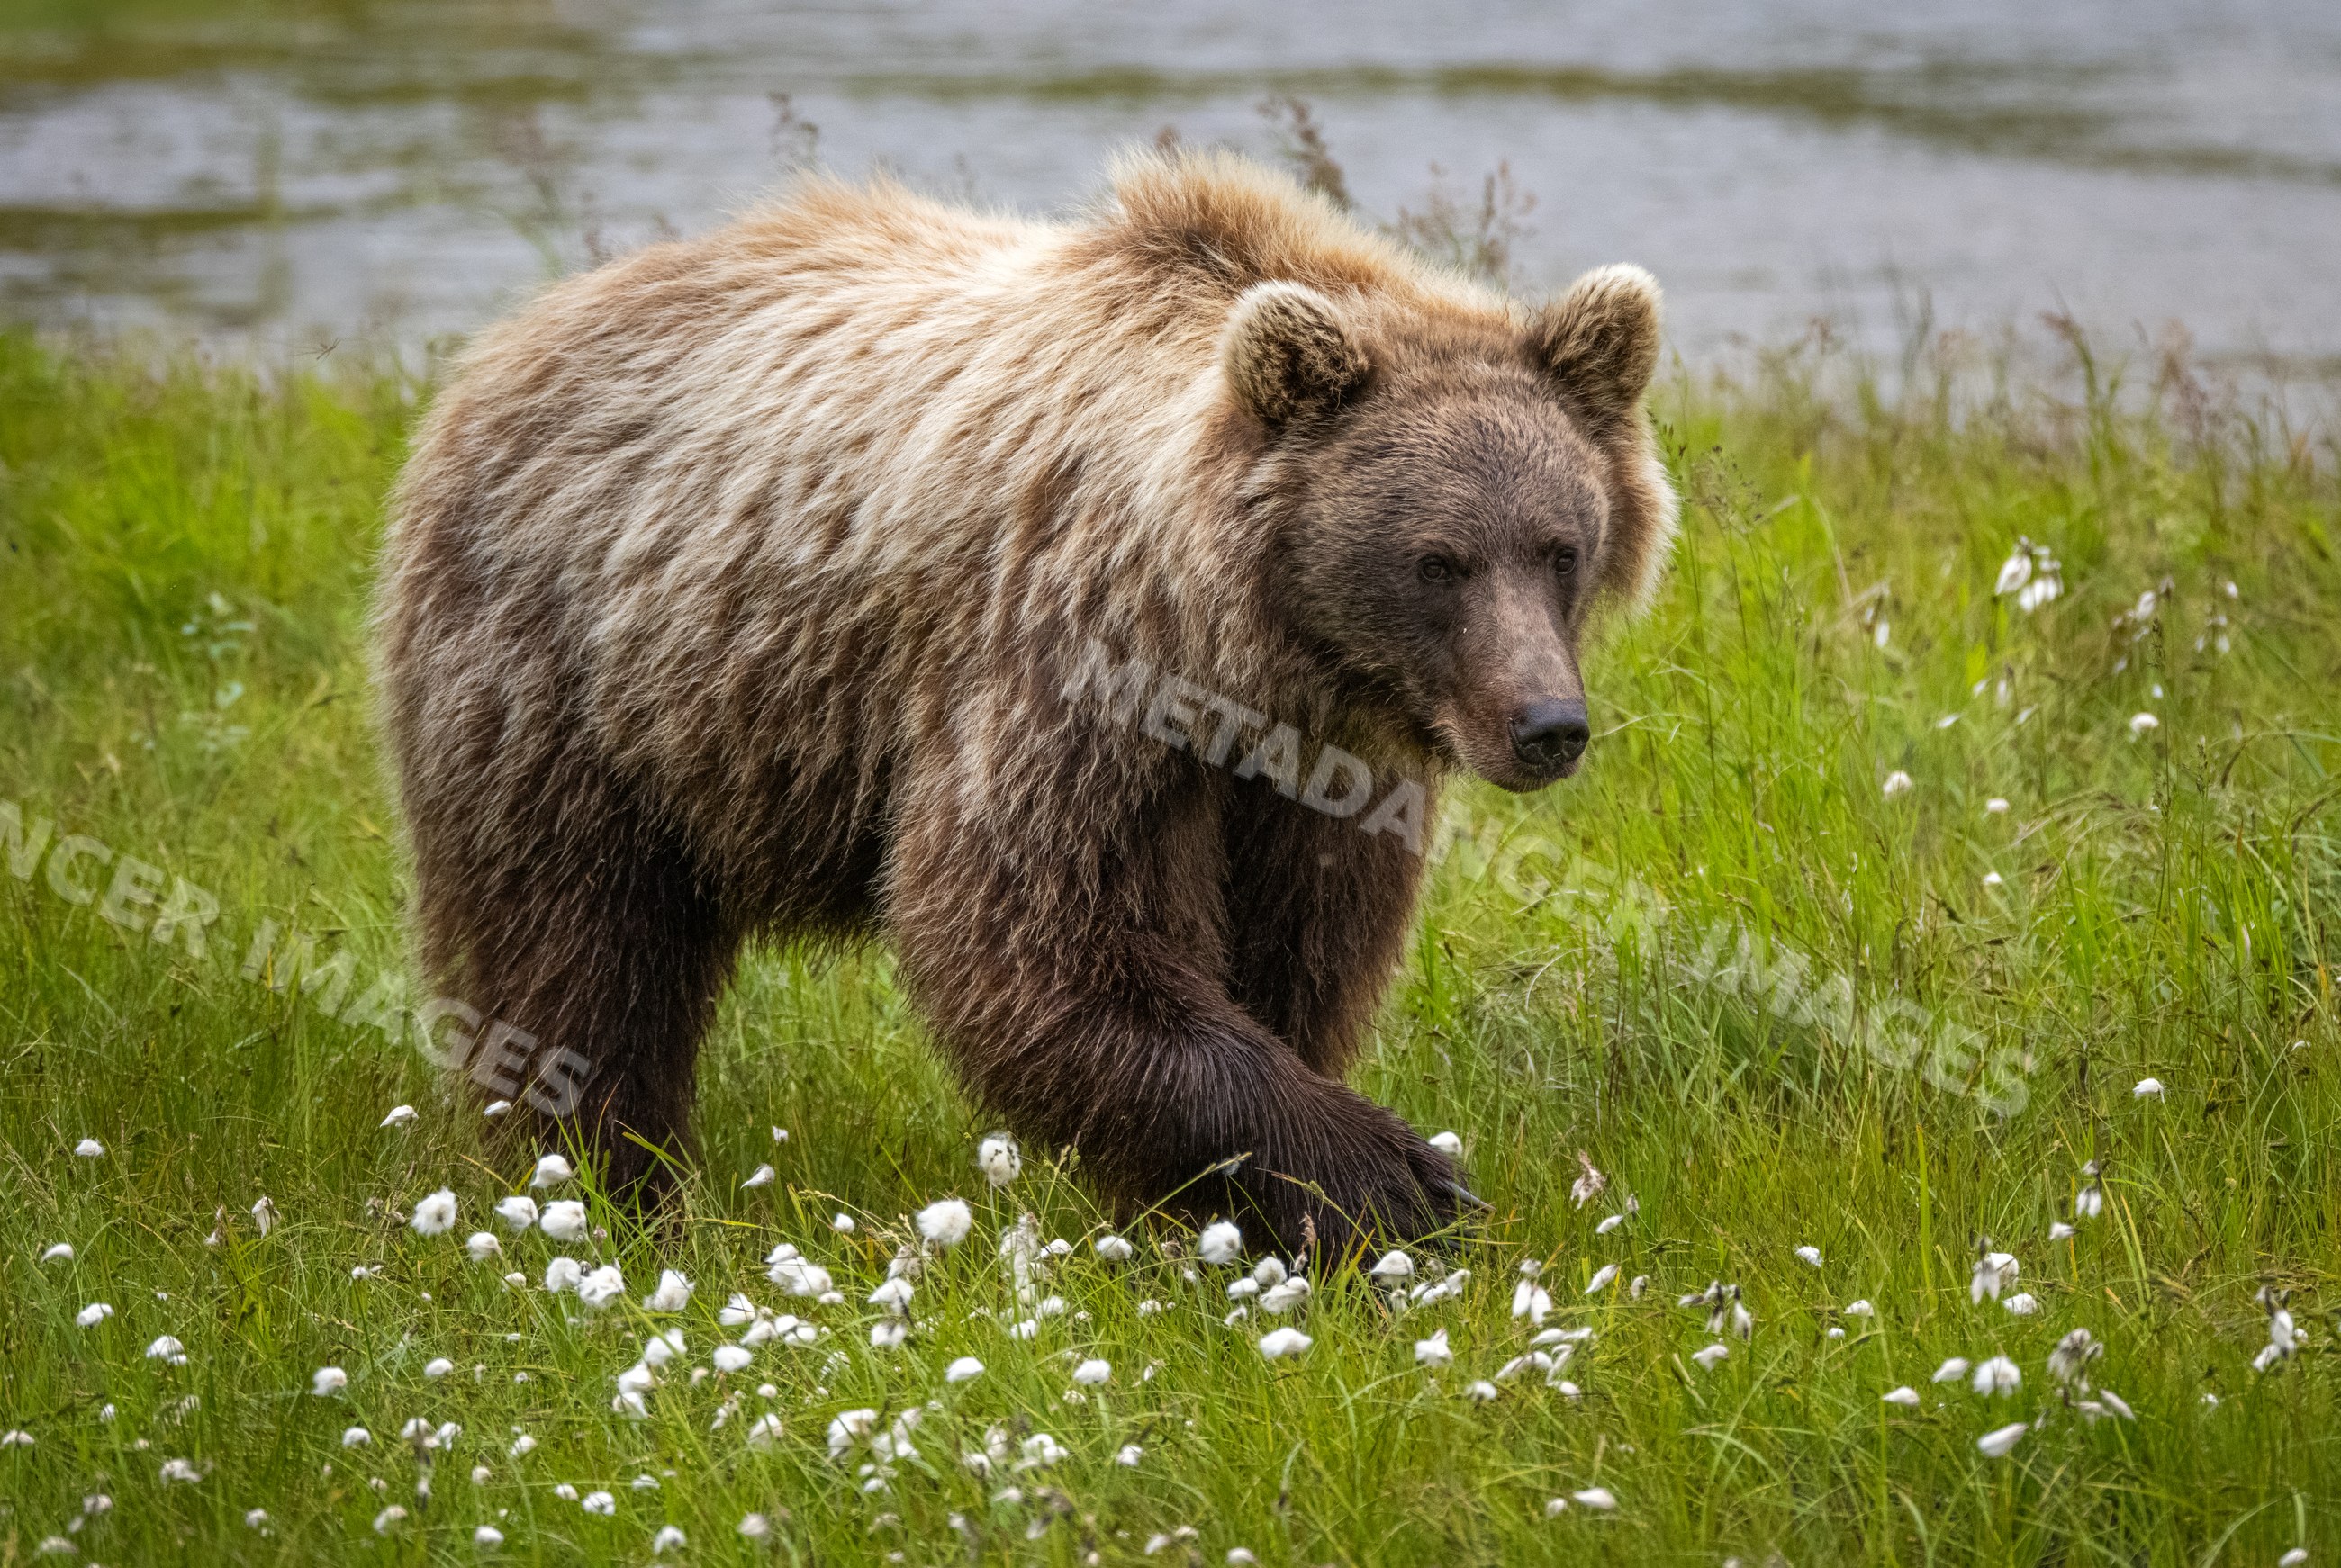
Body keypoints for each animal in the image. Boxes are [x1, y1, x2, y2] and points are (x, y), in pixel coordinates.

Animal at [375, 148, 1675, 1254]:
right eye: (1437, 559)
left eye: (1558, 545)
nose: (1545, 727)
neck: (1243, 656)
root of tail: (510, 339)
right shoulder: (1072, 676)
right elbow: (1037, 934)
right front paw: (1390, 1174)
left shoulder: (1315, 780)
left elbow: (1294, 947)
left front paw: (1251, 1213)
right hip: (573, 673)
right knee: (572, 943)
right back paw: (602, 1180)